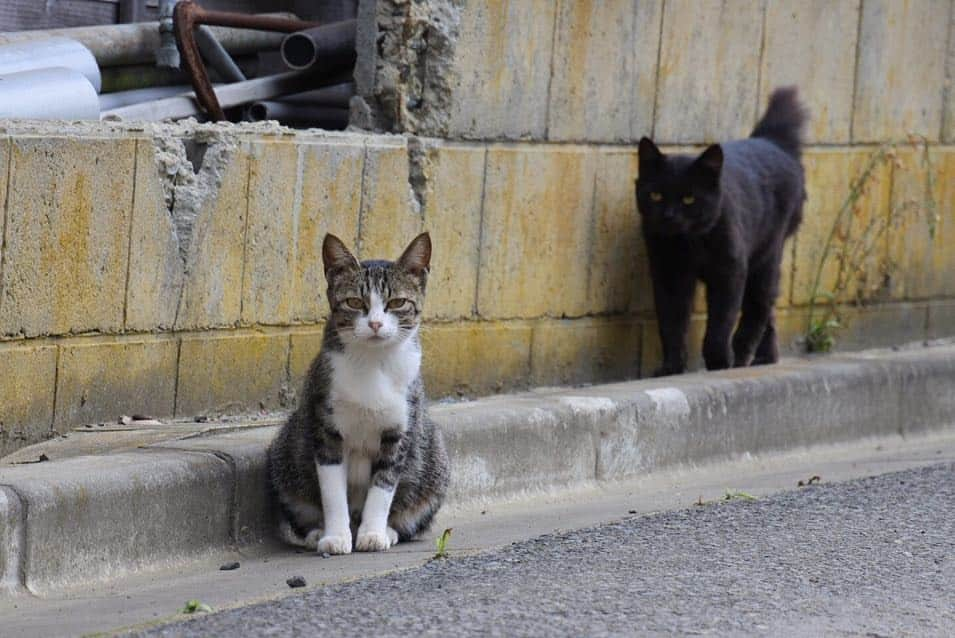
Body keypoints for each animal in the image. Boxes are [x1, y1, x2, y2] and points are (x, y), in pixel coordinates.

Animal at [268, 234, 450, 556]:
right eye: (354, 302)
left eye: (397, 302)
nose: (375, 324)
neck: (372, 362)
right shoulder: (325, 423)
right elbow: (331, 490)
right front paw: (336, 537)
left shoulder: (399, 429)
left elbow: (384, 484)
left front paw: (373, 534)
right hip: (285, 449)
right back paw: (318, 532)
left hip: (436, 456)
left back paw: (389, 530)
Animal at [636, 85, 808, 376]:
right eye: (656, 195)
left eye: (689, 198)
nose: (669, 216)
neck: (688, 244)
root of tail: (772, 142)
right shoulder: (668, 272)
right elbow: (671, 323)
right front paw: (671, 367)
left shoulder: (729, 271)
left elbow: (721, 321)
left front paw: (718, 362)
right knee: (770, 309)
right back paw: (765, 357)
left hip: (766, 256)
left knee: (758, 307)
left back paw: (742, 357)